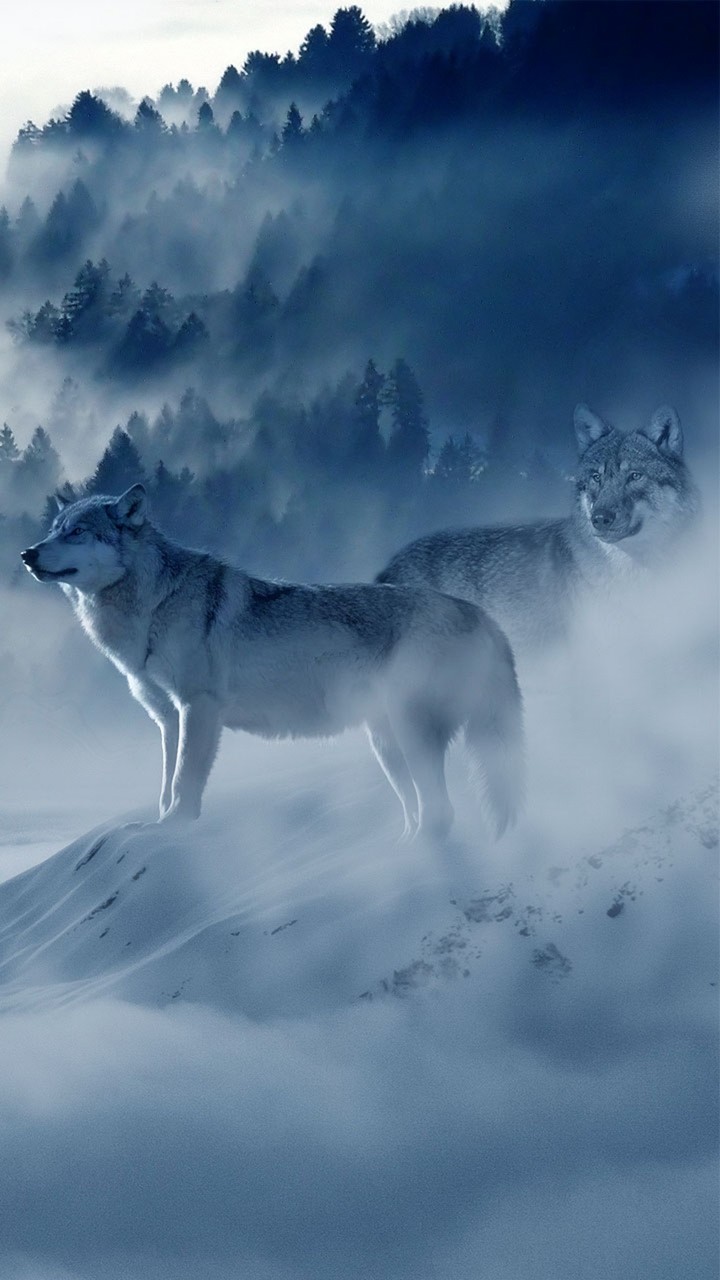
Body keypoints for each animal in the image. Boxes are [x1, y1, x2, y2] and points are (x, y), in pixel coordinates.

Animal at [21, 484, 523, 838]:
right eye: (54, 528)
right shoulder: (167, 718)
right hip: (386, 745)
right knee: (422, 812)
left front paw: (174, 829)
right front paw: (156, 825)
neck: (153, 604)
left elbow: (183, 784)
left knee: (441, 812)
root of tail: (482, 615)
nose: (27, 553)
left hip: (409, 734)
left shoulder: (199, 708)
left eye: (77, 532)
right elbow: (165, 786)